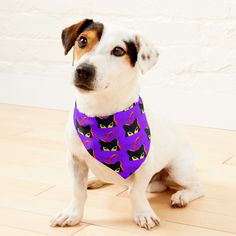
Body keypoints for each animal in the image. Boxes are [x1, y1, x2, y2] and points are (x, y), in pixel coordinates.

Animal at [50, 18, 204, 230]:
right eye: (82, 40)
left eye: (118, 51)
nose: (83, 70)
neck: (101, 112)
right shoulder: (75, 160)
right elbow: (78, 191)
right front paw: (72, 214)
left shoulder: (144, 166)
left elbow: (136, 193)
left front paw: (143, 214)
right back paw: (95, 180)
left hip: (179, 170)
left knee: (196, 187)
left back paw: (181, 196)